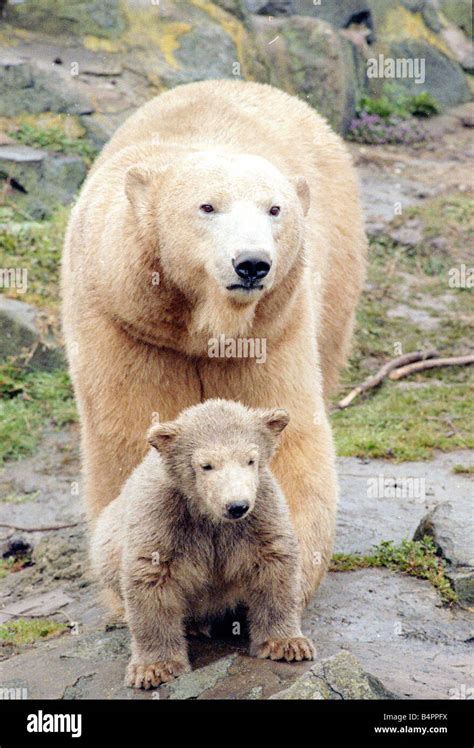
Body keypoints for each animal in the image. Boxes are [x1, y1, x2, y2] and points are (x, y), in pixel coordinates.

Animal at [62, 80, 366, 600]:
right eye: (207, 206)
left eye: (274, 208)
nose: (252, 263)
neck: (200, 326)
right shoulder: (125, 320)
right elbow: (134, 434)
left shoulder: (272, 327)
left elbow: (286, 436)